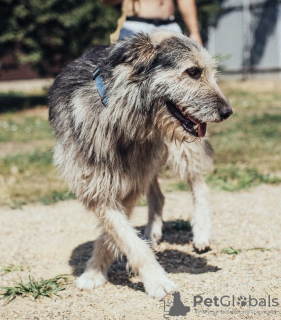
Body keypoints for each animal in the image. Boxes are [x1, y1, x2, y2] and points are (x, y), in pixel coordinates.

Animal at [48, 30, 232, 298]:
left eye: (210, 73)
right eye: (193, 72)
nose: (228, 112)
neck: (120, 115)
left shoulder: (129, 187)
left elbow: (117, 236)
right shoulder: (97, 188)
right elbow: (122, 235)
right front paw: (97, 272)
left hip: (180, 151)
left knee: (199, 186)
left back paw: (201, 232)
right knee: (158, 196)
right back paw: (152, 232)